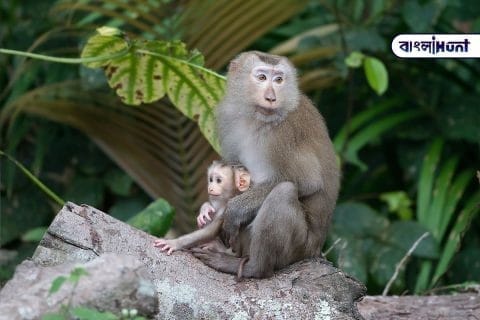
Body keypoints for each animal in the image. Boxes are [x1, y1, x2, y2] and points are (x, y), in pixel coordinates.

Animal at [192, 51, 342, 278]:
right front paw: (208, 209)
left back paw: (254, 267)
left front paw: (234, 209)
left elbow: (307, 182)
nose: (271, 98)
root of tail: (316, 249)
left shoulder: (285, 133)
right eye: (262, 77)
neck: (258, 119)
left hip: (299, 247)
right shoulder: (229, 118)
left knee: (284, 192)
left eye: (279, 80)